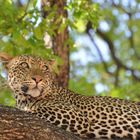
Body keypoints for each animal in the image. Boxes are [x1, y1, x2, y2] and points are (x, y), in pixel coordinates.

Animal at [0, 52, 140, 139]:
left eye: (45, 68)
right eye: (24, 65)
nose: (38, 79)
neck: (23, 99)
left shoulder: (75, 115)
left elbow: (33, 110)